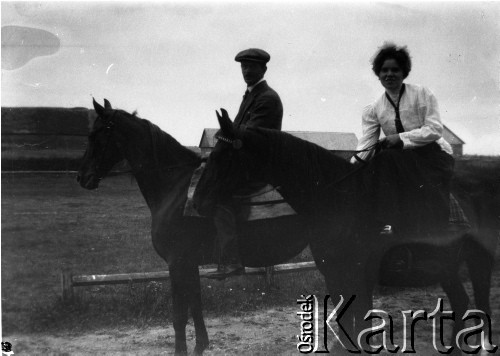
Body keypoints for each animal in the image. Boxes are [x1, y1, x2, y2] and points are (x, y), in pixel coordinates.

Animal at [76, 98, 338, 354]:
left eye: (94, 134)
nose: (81, 177)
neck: (174, 190)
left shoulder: (177, 263)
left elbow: (179, 317)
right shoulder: (189, 265)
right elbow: (195, 306)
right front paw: (201, 345)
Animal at [192, 110, 500, 354]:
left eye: (223, 156)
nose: (197, 201)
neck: (341, 199)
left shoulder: (359, 276)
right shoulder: (335, 275)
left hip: (477, 261)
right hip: (447, 266)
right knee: (462, 303)